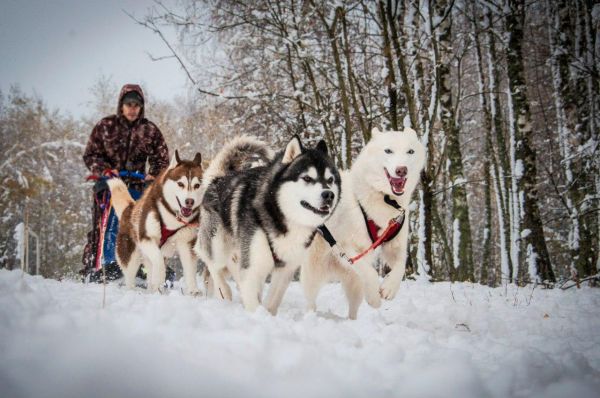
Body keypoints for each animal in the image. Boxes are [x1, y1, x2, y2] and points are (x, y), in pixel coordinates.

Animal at [110, 151, 206, 294]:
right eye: (180, 184)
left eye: (197, 185)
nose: (190, 201)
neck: (172, 216)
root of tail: (130, 208)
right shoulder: (147, 238)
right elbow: (158, 261)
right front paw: (159, 278)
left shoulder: (186, 242)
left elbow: (189, 270)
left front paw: (194, 291)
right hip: (131, 255)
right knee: (130, 276)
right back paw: (133, 290)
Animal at [195, 135, 340, 316]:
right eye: (307, 178)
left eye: (330, 180)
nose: (329, 195)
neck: (282, 216)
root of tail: (219, 178)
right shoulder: (252, 267)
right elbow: (252, 300)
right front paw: (256, 315)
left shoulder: (285, 268)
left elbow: (271, 301)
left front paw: (267, 314)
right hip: (218, 247)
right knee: (212, 264)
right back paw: (225, 291)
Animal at [302, 128, 424, 320]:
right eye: (388, 151)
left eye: (410, 151)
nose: (401, 170)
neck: (384, 199)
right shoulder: (346, 247)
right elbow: (371, 273)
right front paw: (374, 298)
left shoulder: (394, 245)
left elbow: (400, 265)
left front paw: (389, 288)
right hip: (314, 271)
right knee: (310, 300)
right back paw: (310, 316)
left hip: (354, 283)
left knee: (353, 307)